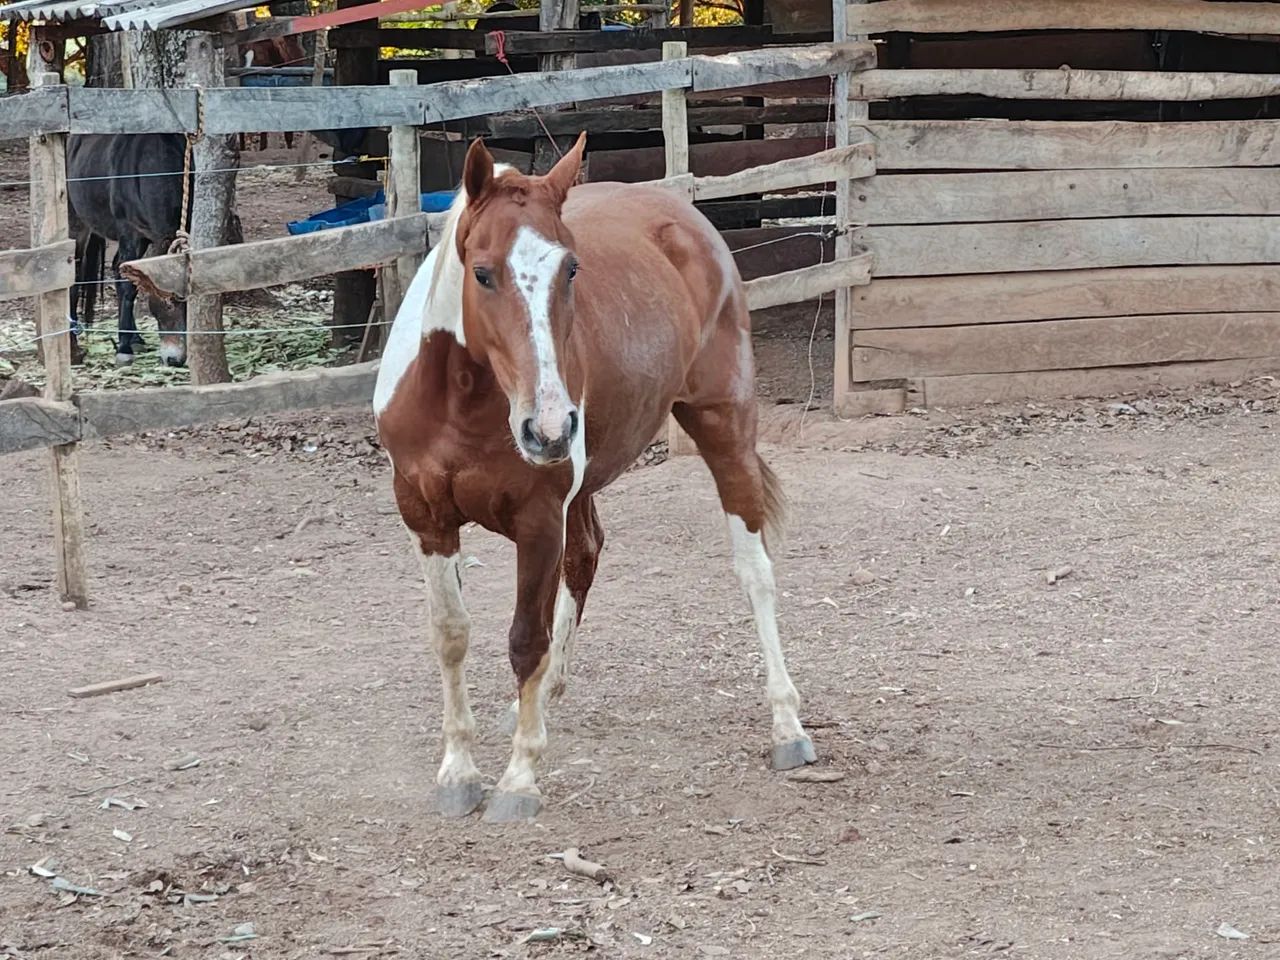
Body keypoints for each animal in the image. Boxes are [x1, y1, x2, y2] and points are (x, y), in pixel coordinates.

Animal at [67, 133, 191, 367]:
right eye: (168, 303)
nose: (175, 359)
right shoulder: (129, 233)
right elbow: (128, 288)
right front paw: (123, 350)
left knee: (117, 267)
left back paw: (135, 338)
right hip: (76, 224)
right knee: (74, 276)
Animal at [372, 134, 816, 822]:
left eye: (572, 269)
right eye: (483, 272)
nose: (550, 427)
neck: (460, 404)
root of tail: (682, 215)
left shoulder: (537, 520)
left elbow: (524, 639)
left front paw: (519, 780)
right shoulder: (425, 516)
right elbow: (451, 635)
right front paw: (459, 771)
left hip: (724, 430)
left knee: (754, 572)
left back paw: (787, 726)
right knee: (586, 558)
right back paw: (540, 700)